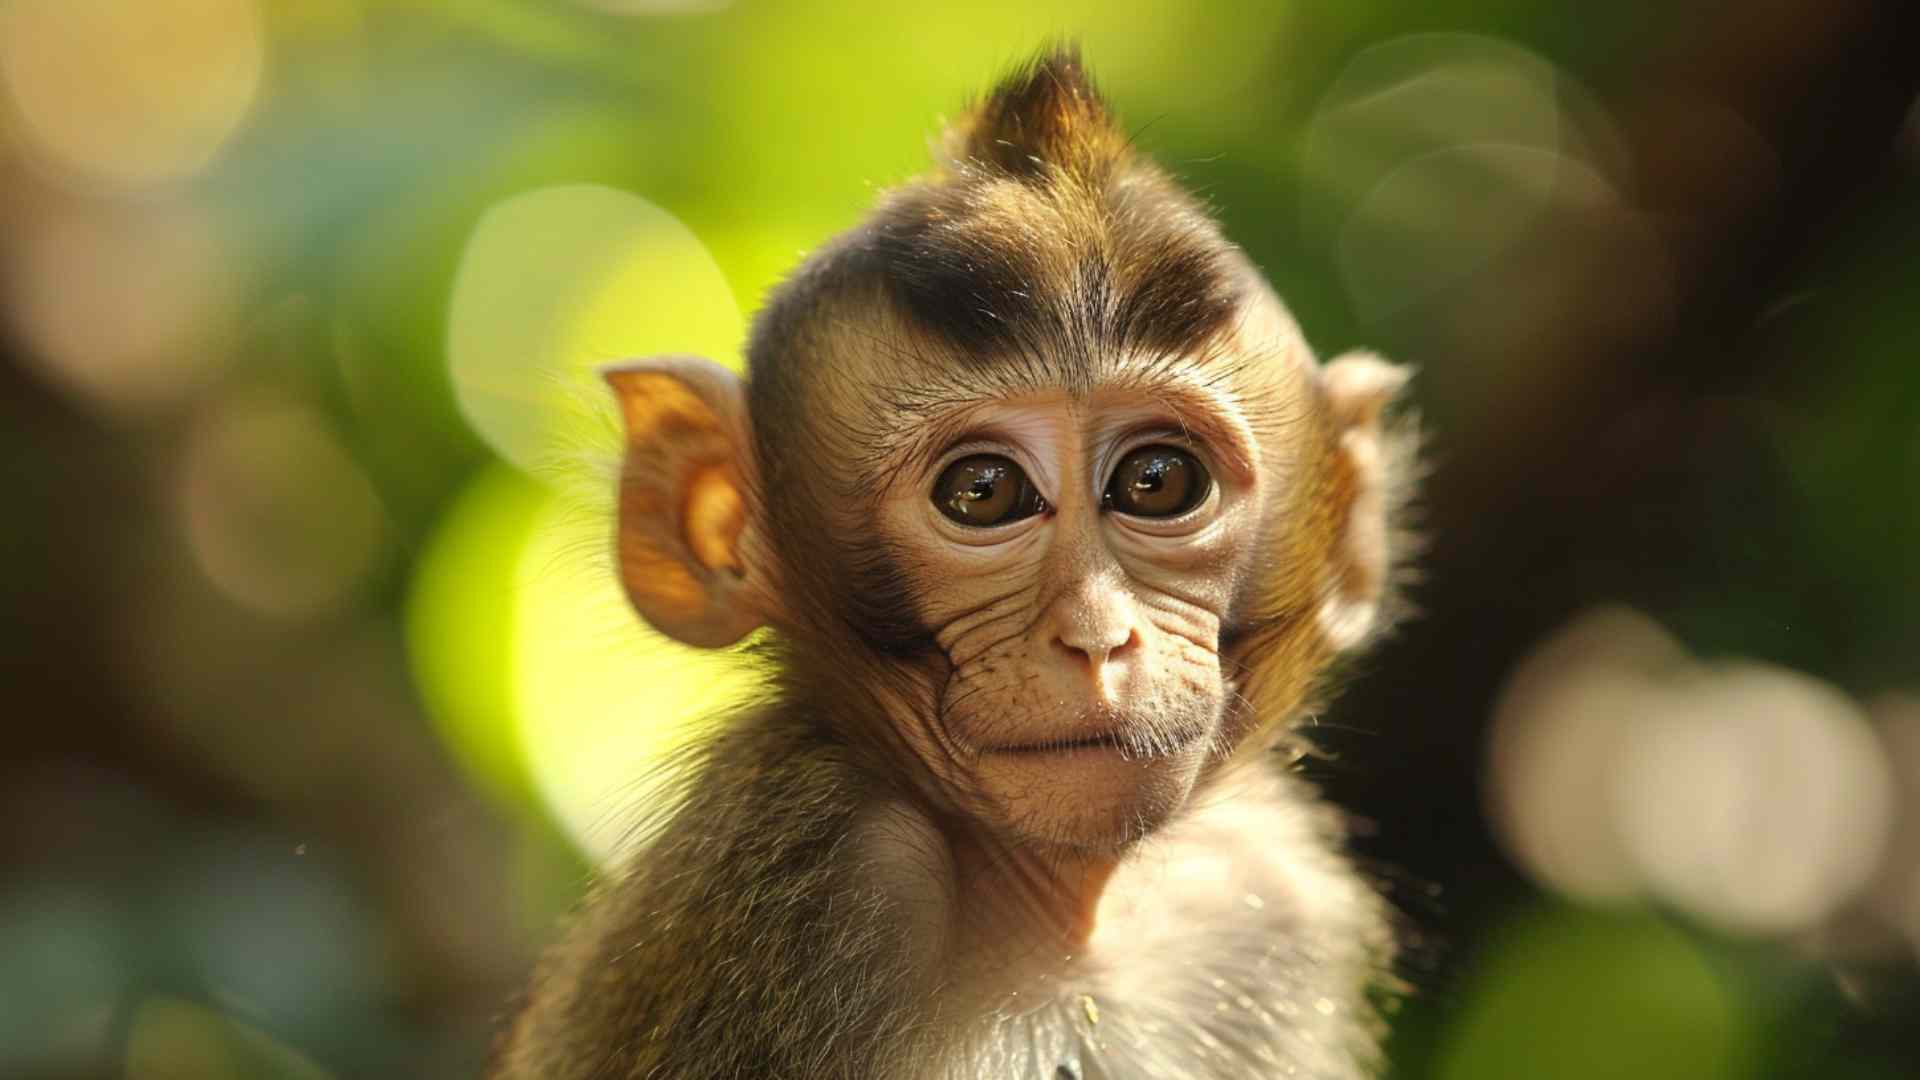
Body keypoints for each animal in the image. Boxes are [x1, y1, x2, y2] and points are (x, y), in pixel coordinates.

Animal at [486, 47, 1415, 1080]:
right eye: (983, 492)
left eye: (1158, 481)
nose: (1099, 638)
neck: (1072, 914)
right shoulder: (816, 883)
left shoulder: (1274, 904)